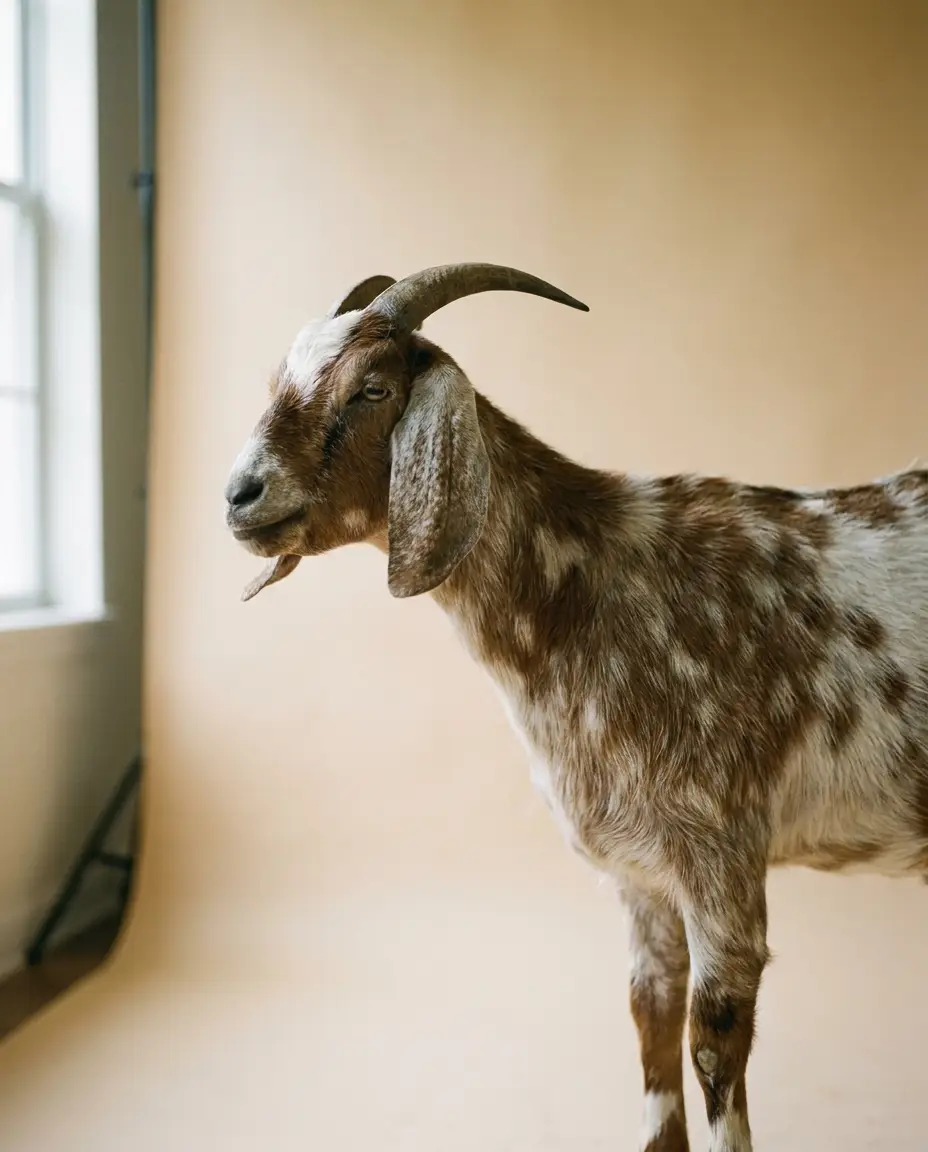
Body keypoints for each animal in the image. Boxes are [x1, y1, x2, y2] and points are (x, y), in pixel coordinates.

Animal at [224, 263, 928, 1152]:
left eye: (371, 388)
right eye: (278, 379)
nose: (239, 494)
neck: (593, 588)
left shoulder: (723, 854)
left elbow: (713, 1043)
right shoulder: (640, 874)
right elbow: (650, 1020)